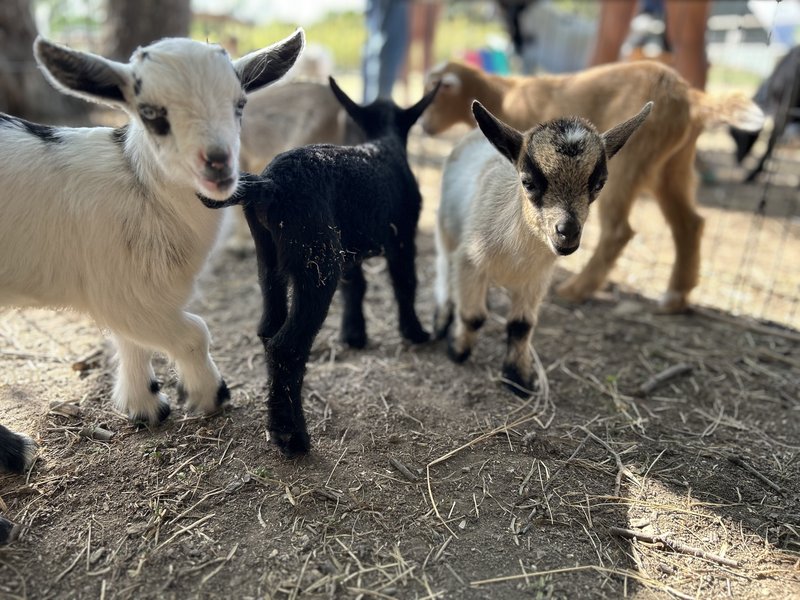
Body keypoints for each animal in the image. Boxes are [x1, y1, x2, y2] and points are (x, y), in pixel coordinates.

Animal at [0, 30, 304, 440]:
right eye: (149, 113)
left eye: (240, 103)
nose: (219, 164)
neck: (140, 186)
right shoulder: (122, 293)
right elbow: (194, 332)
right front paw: (209, 396)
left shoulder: (132, 291)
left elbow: (131, 342)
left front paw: (143, 406)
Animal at [200, 77, 440, 456]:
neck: (381, 144)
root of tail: (270, 186)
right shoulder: (403, 236)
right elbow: (405, 283)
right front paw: (415, 332)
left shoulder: (349, 248)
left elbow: (355, 287)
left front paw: (354, 335)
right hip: (317, 262)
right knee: (288, 346)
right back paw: (291, 437)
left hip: (271, 258)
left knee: (269, 329)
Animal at [423, 60, 764, 313]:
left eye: (438, 93)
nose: (424, 127)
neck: (505, 95)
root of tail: (690, 98)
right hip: (674, 167)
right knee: (690, 223)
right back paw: (675, 298)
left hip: (631, 164)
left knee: (619, 231)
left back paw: (575, 289)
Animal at [435, 101, 652, 394]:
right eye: (528, 182)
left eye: (598, 184)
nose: (567, 232)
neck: (515, 254)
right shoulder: (469, 261)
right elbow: (473, 316)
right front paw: (457, 350)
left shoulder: (535, 280)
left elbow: (521, 326)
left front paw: (519, 379)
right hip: (445, 232)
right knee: (443, 269)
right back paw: (441, 318)